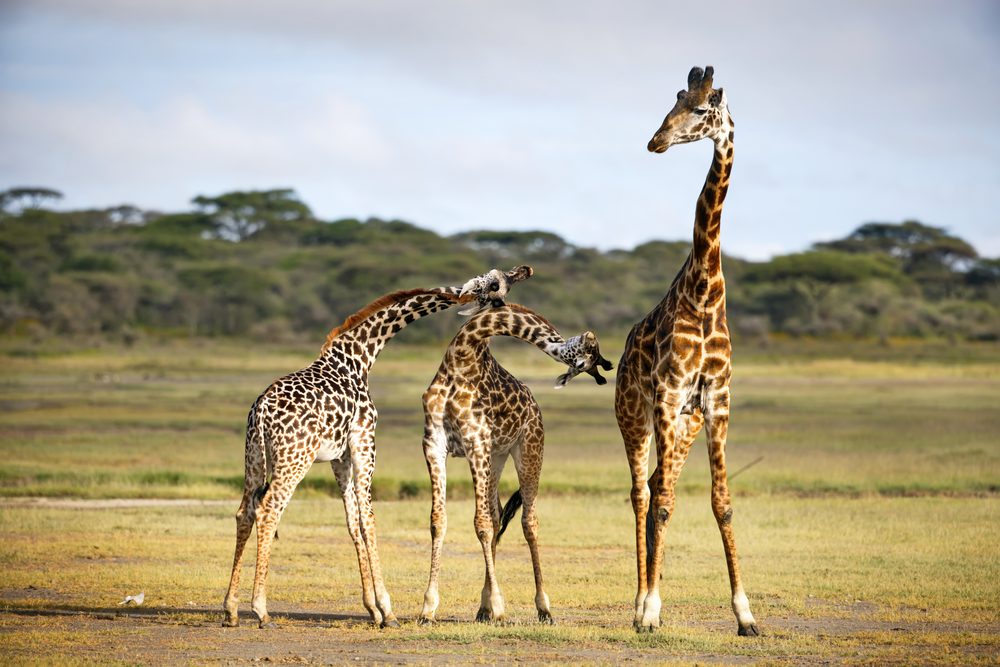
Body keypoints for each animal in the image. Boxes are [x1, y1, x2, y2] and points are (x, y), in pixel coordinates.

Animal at [222, 266, 533, 629]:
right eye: (498, 281)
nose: (524, 270)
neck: (360, 355)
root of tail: (261, 412)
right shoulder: (365, 441)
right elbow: (369, 520)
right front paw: (388, 610)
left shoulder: (340, 456)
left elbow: (353, 522)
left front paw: (372, 608)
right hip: (294, 459)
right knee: (269, 510)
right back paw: (261, 610)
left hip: (254, 458)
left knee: (244, 512)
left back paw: (230, 609)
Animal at [418, 304, 613, 625]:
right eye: (591, 353)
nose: (605, 368)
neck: (462, 356)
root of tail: (535, 405)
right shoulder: (434, 443)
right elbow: (439, 520)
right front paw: (428, 608)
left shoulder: (476, 440)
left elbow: (481, 524)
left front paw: (499, 605)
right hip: (497, 456)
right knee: (498, 516)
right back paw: (483, 608)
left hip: (530, 448)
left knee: (528, 521)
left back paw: (543, 608)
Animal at [614, 66, 759, 636]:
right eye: (673, 103)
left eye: (701, 109)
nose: (655, 141)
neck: (704, 291)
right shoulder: (669, 391)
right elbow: (664, 504)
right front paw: (652, 610)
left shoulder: (716, 400)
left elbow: (722, 503)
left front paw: (746, 614)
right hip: (637, 415)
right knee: (642, 493)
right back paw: (638, 603)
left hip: (686, 422)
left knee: (659, 485)